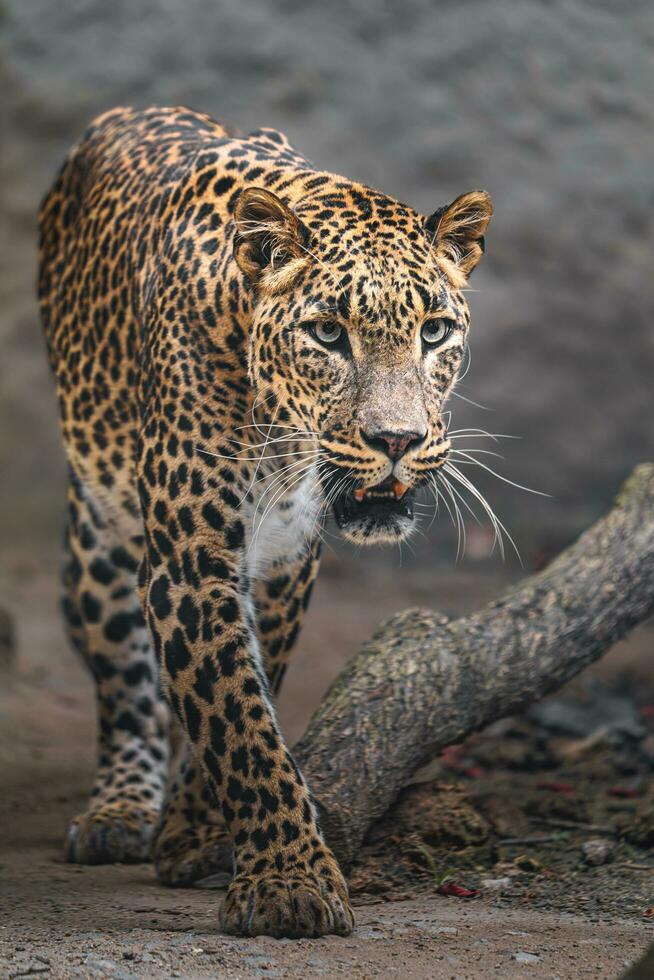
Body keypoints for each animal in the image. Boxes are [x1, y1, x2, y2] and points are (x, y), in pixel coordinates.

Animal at [38, 103, 492, 936]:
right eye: (327, 334)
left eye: (435, 332)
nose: (397, 441)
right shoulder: (189, 561)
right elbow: (237, 721)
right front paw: (289, 882)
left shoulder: (283, 556)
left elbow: (250, 692)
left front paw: (200, 830)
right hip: (99, 530)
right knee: (121, 679)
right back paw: (119, 809)